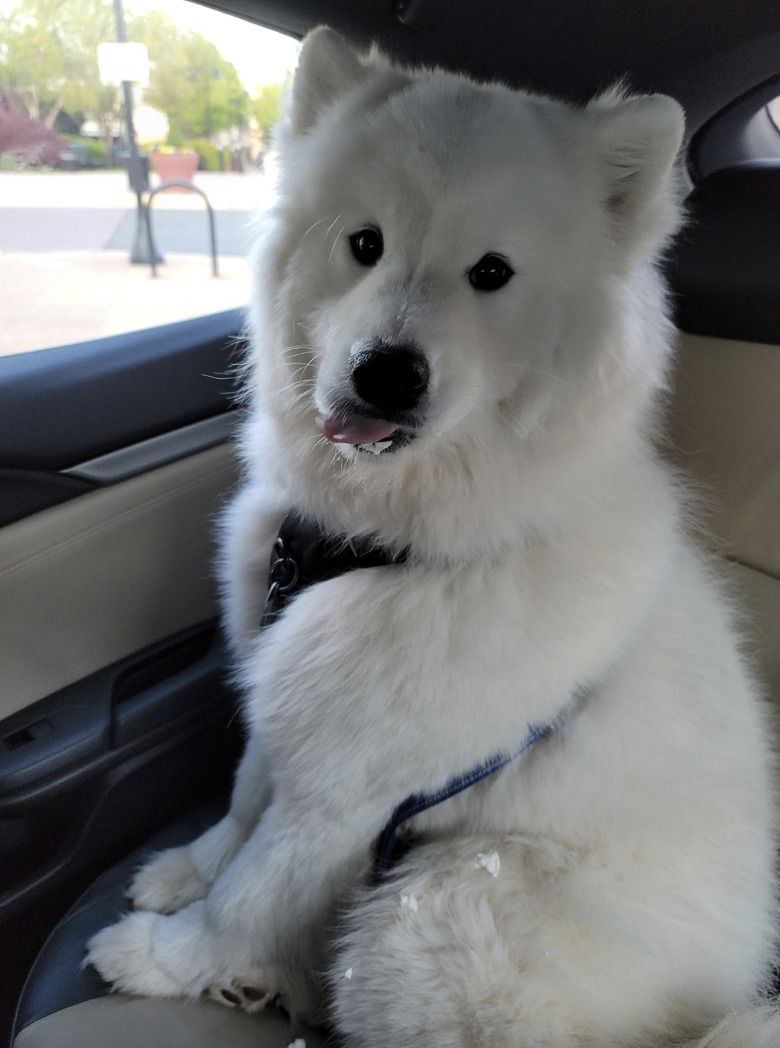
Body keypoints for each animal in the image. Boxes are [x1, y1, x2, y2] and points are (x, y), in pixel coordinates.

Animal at [88, 26, 775, 1048]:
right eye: (364, 244)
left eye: (491, 272)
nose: (386, 373)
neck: (380, 538)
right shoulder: (291, 694)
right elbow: (244, 798)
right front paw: (187, 868)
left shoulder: (349, 793)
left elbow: (250, 892)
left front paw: (165, 956)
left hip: (425, 910)